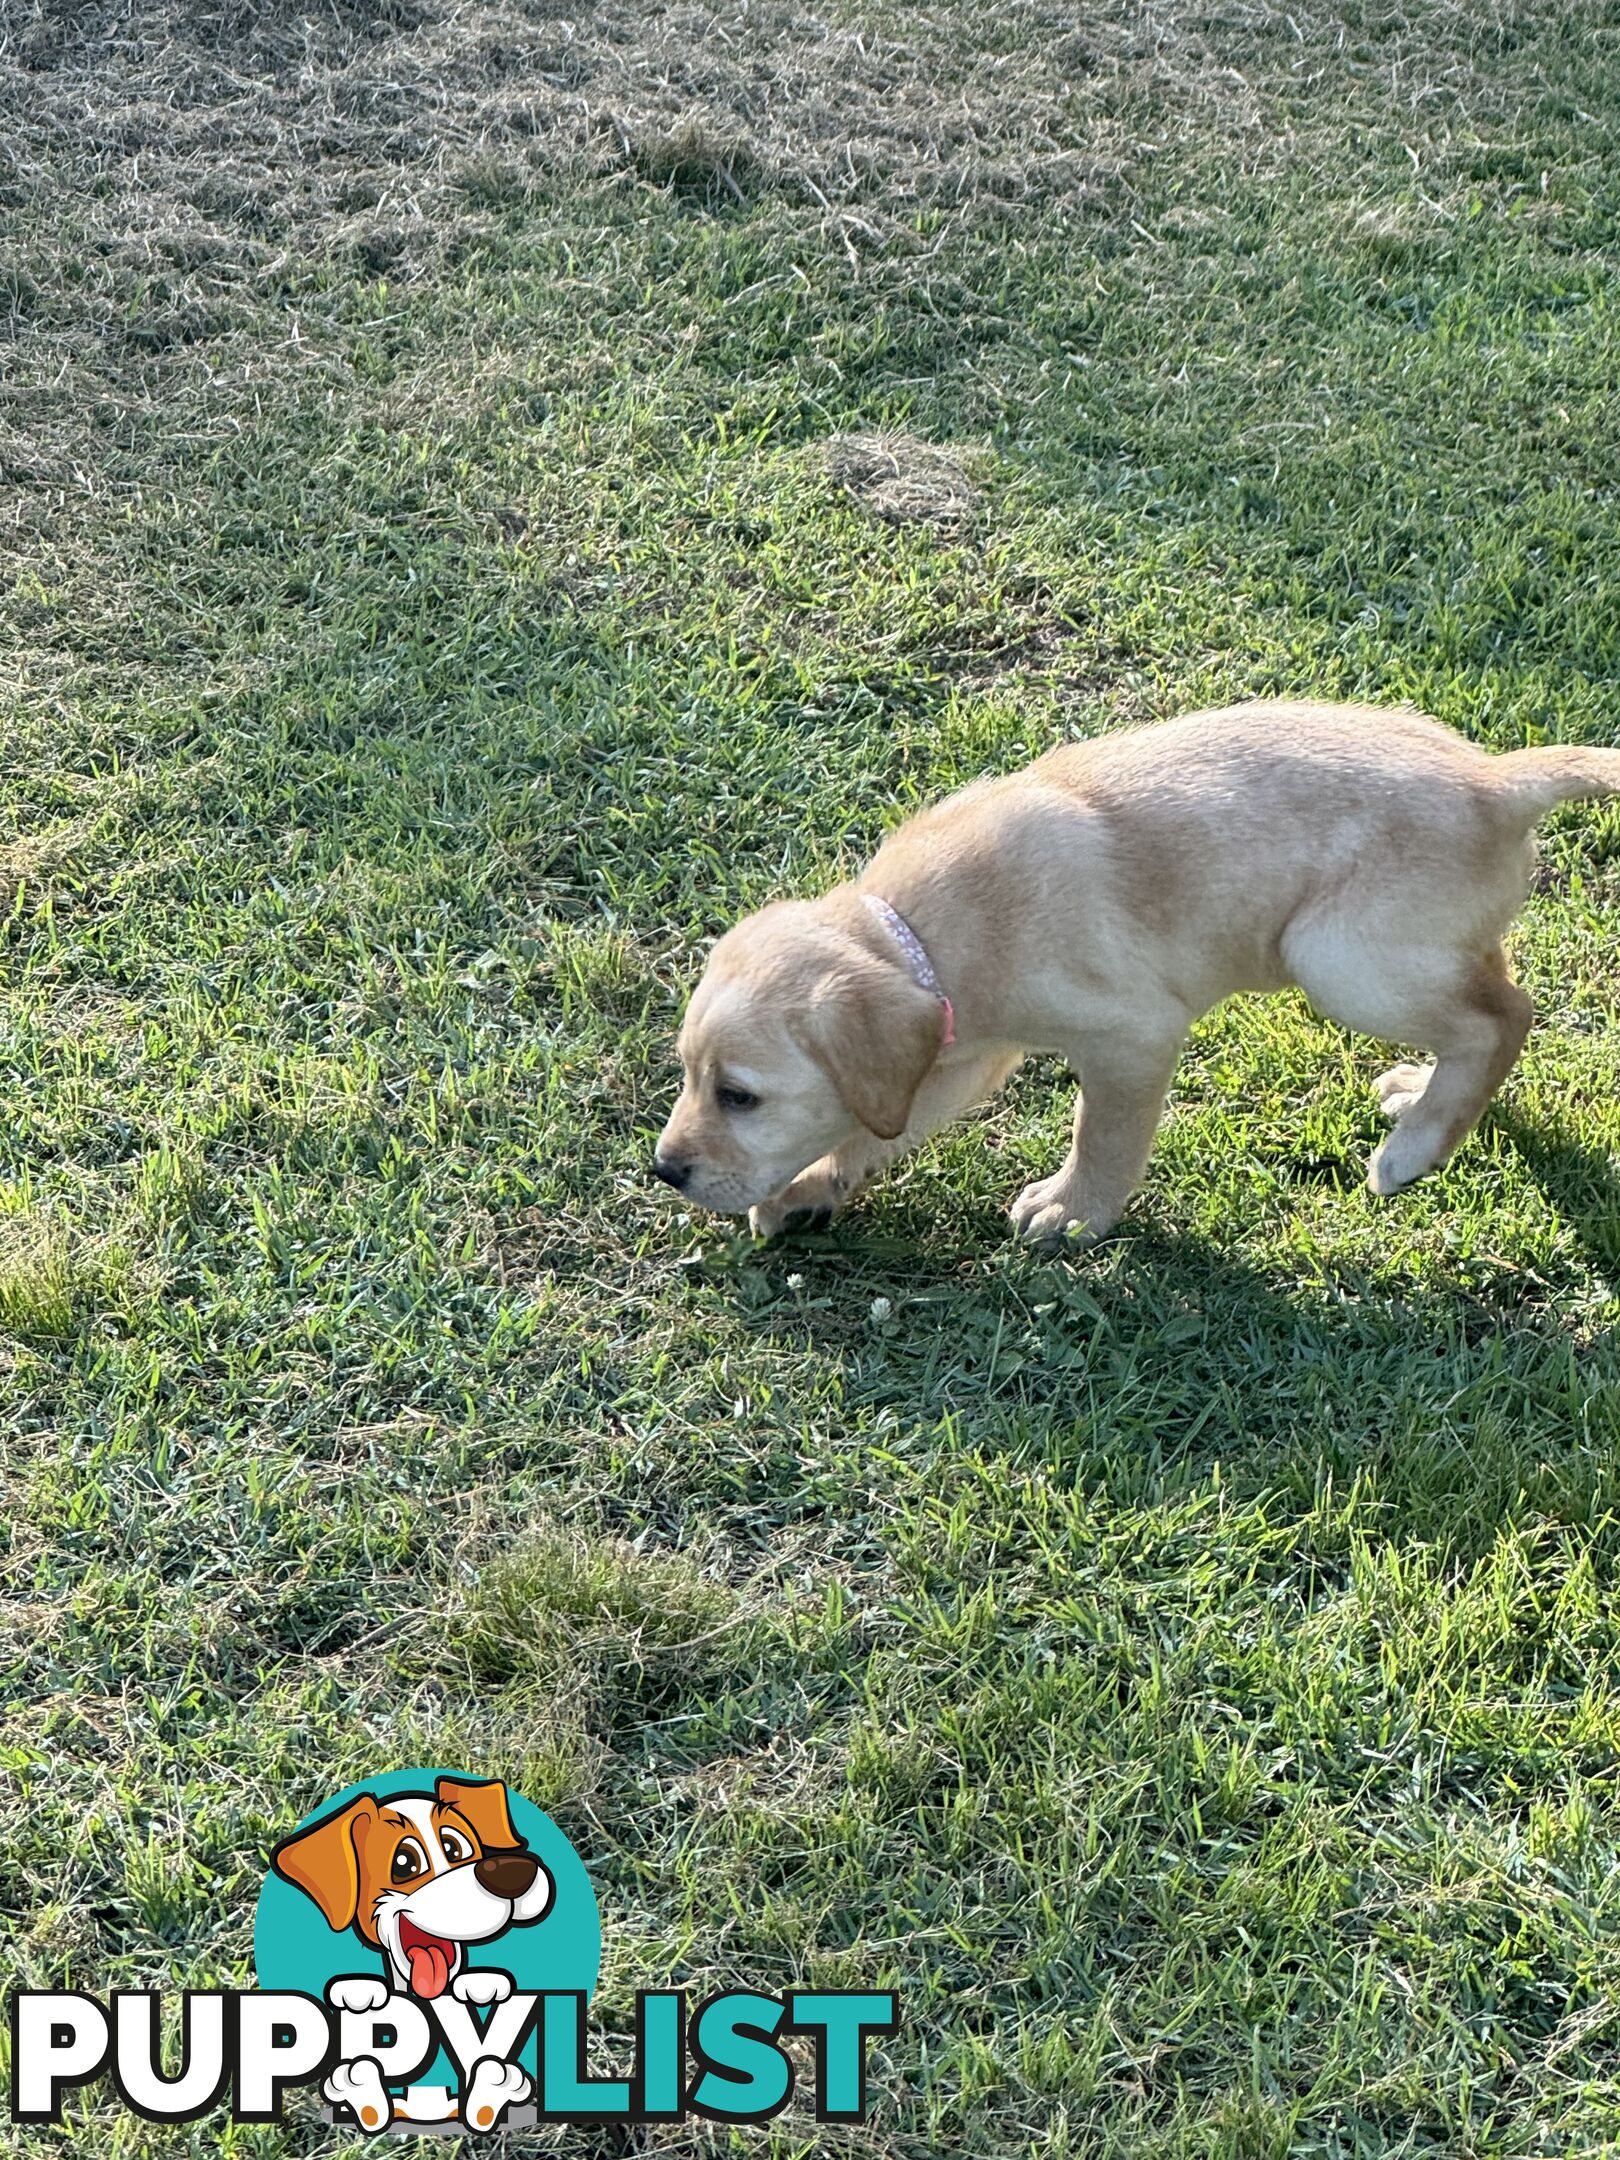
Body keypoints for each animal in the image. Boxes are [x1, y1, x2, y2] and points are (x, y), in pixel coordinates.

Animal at [652, 704, 1615, 1244]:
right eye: (688, 1077)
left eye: (739, 1095)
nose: (665, 1170)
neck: (921, 933)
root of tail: (1495, 779)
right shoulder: (959, 1054)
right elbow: (879, 1126)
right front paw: (810, 1187)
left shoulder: (1131, 1039)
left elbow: (1103, 1136)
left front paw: (1074, 1211)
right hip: (1413, 949)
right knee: (1492, 994)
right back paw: (1416, 1095)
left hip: (1340, 957)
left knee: (1505, 1016)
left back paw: (1413, 1147)